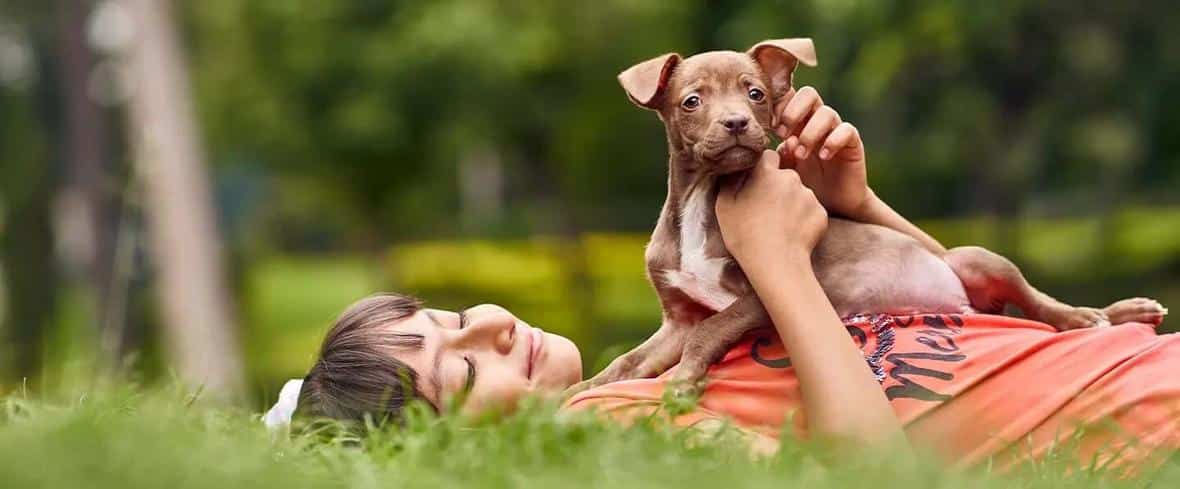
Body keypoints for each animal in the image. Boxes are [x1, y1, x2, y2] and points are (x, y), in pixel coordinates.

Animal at [571, 38, 1170, 396]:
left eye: (756, 93)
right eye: (691, 101)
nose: (738, 123)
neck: (703, 201)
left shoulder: (759, 295)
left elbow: (710, 332)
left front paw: (686, 380)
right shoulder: (676, 317)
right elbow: (628, 363)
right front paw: (579, 390)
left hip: (977, 257)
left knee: (1046, 307)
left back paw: (1102, 314)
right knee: (1031, 316)